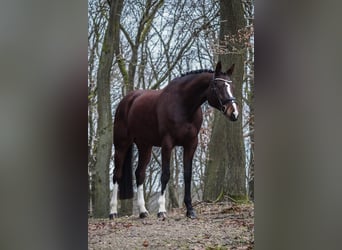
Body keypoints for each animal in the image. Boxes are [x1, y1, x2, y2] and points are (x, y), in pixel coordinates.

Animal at [109, 61, 238, 219]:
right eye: (218, 86)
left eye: (231, 86)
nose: (234, 113)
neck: (183, 105)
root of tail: (127, 100)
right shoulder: (167, 143)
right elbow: (165, 174)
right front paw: (161, 211)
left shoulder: (191, 144)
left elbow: (187, 175)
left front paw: (190, 210)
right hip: (121, 145)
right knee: (117, 174)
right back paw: (113, 212)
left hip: (145, 146)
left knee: (139, 173)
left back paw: (143, 211)